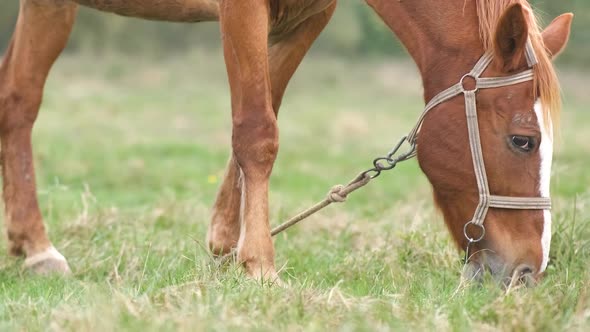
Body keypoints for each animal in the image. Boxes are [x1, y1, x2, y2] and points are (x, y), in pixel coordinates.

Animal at [0, 0, 572, 286]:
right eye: (523, 140)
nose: (528, 270)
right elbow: (258, 131)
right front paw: (260, 264)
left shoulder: (305, 18)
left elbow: (263, 111)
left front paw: (226, 245)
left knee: (17, 100)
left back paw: (33, 246)